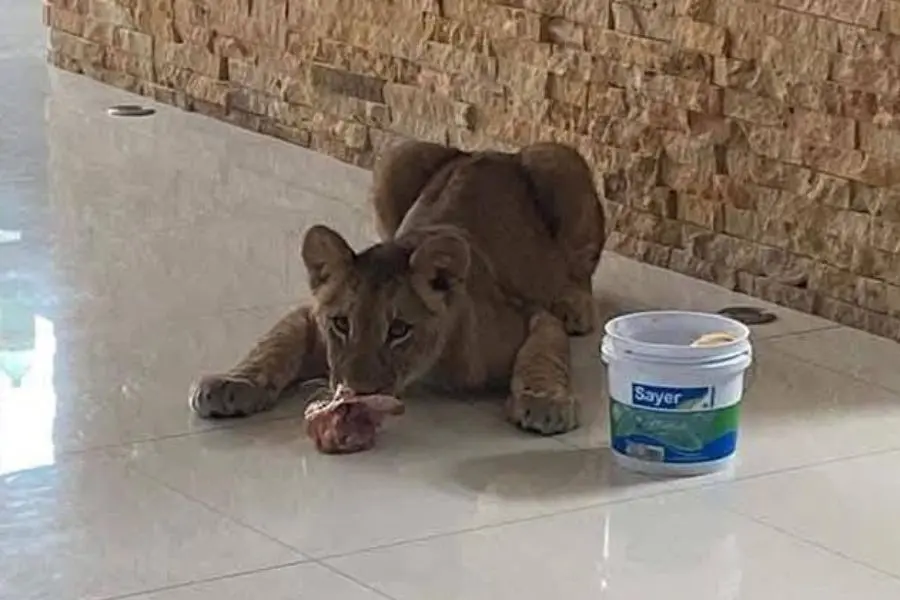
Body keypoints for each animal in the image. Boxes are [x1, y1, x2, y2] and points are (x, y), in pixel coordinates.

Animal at [189, 141, 606, 435]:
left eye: (399, 330)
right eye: (341, 324)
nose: (358, 391)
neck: (431, 370)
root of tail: (488, 151)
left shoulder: (530, 314)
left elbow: (543, 355)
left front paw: (545, 402)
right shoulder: (310, 315)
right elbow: (273, 345)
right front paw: (230, 384)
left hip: (558, 161)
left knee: (580, 271)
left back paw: (575, 306)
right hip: (395, 158)